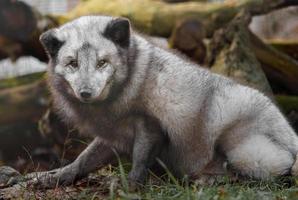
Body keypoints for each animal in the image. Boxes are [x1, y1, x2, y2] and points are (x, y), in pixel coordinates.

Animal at [28, 15, 298, 188]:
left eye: (102, 62)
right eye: (72, 63)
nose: (85, 93)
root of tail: (291, 132)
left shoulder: (150, 123)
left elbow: (140, 157)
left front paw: (131, 185)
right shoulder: (113, 135)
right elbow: (83, 160)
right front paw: (52, 177)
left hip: (243, 149)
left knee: (281, 170)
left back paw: (211, 179)